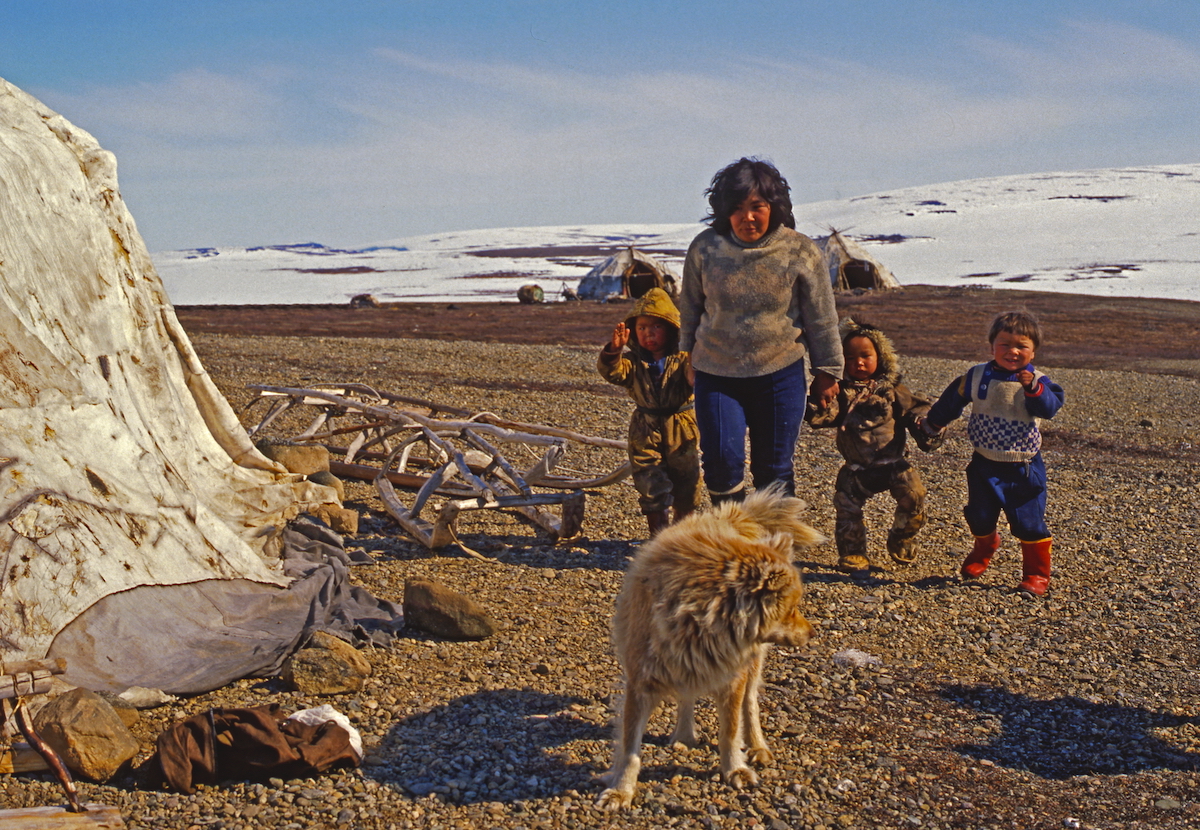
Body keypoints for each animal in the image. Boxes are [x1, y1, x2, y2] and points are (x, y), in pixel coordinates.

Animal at [595, 486, 820, 810]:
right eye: (791, 610)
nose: (812, 633)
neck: (696, 617)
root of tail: (727, 516)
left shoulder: (732, 678)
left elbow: (730, 731)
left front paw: (735, 769)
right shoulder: (641, 683)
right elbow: (629, 749)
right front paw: (621, 790)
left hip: (752, 663)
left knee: (750, 703)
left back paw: (757, 746)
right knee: (687, 695)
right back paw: (684, 733)